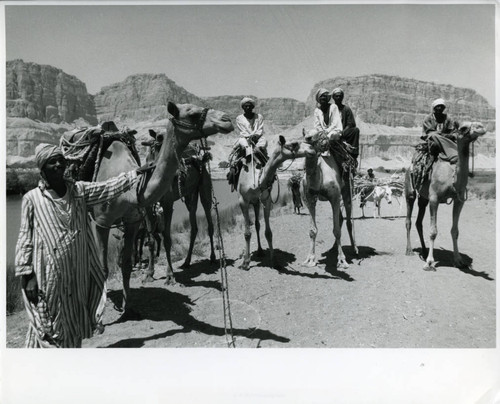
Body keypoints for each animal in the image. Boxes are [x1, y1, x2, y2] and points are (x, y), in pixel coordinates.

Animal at [142, 129, 218, 284]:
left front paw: (170, 275)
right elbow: (151, 239)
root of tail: (201, 158)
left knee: (209, 222)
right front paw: (149, 273)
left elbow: (167, 238)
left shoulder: (168, 203)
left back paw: (212, 258)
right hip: (190, 196)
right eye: (155, 145)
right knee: (194, 226)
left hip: (205, 187)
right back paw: (187, 262)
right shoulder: (147, 207)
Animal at [235, 136, 312, 272]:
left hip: (256, 202)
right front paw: (245, 263)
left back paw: (260, 251)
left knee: (257, 224)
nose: (312, 149)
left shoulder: (266, 200)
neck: (257, 181)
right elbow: (247, 233)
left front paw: (274, 261)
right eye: (294, 144)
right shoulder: (243, 201)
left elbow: (268, 233)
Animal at [298, 128, 358, 270]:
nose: (308, 138)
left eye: (319, 133)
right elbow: (312, 230)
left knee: (348, 221)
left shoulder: (334, 197)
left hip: (347, 191)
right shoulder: (309, 199)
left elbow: (336, 230)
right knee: (341, 218)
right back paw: (333, 248)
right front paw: (310, 259)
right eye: (305, 133)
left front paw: (342, 260)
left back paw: (354, 249)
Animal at [404, 121, 486, 270]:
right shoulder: (434, 198)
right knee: (409, 218)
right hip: (410, 188)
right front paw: (429, 262)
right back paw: (409, 250)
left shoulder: (459, 200)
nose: (480, 127)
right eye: (463, 128)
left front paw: (459, 260)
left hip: (424, 198)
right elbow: (433, 231)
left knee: (419, 221)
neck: (451, 177)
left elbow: (455, 231)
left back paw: (424, 250)